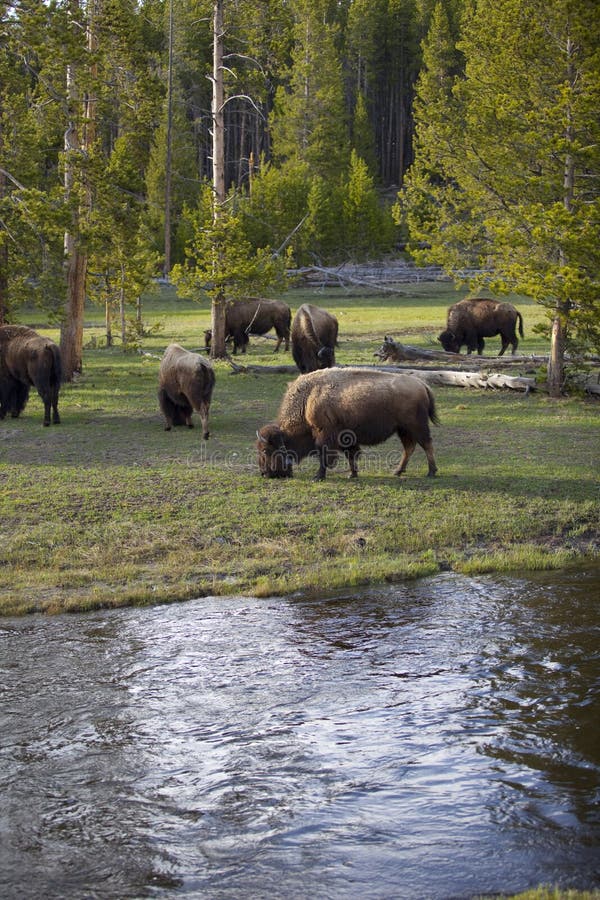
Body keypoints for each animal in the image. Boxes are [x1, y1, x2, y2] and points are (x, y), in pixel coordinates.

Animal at [255, 366, 438, 482]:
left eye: (265, 450)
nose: (264, 473)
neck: (307, 400)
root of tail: (422, 385)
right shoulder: (346, 437)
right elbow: (351, 454)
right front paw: (352, 474)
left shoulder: (324, 435)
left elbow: (324, 455)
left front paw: (318, 477)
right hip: (403, 429)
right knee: (410, 448)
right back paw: (398, 471)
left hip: (416, 426)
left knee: (426, 444)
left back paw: (431, 472)